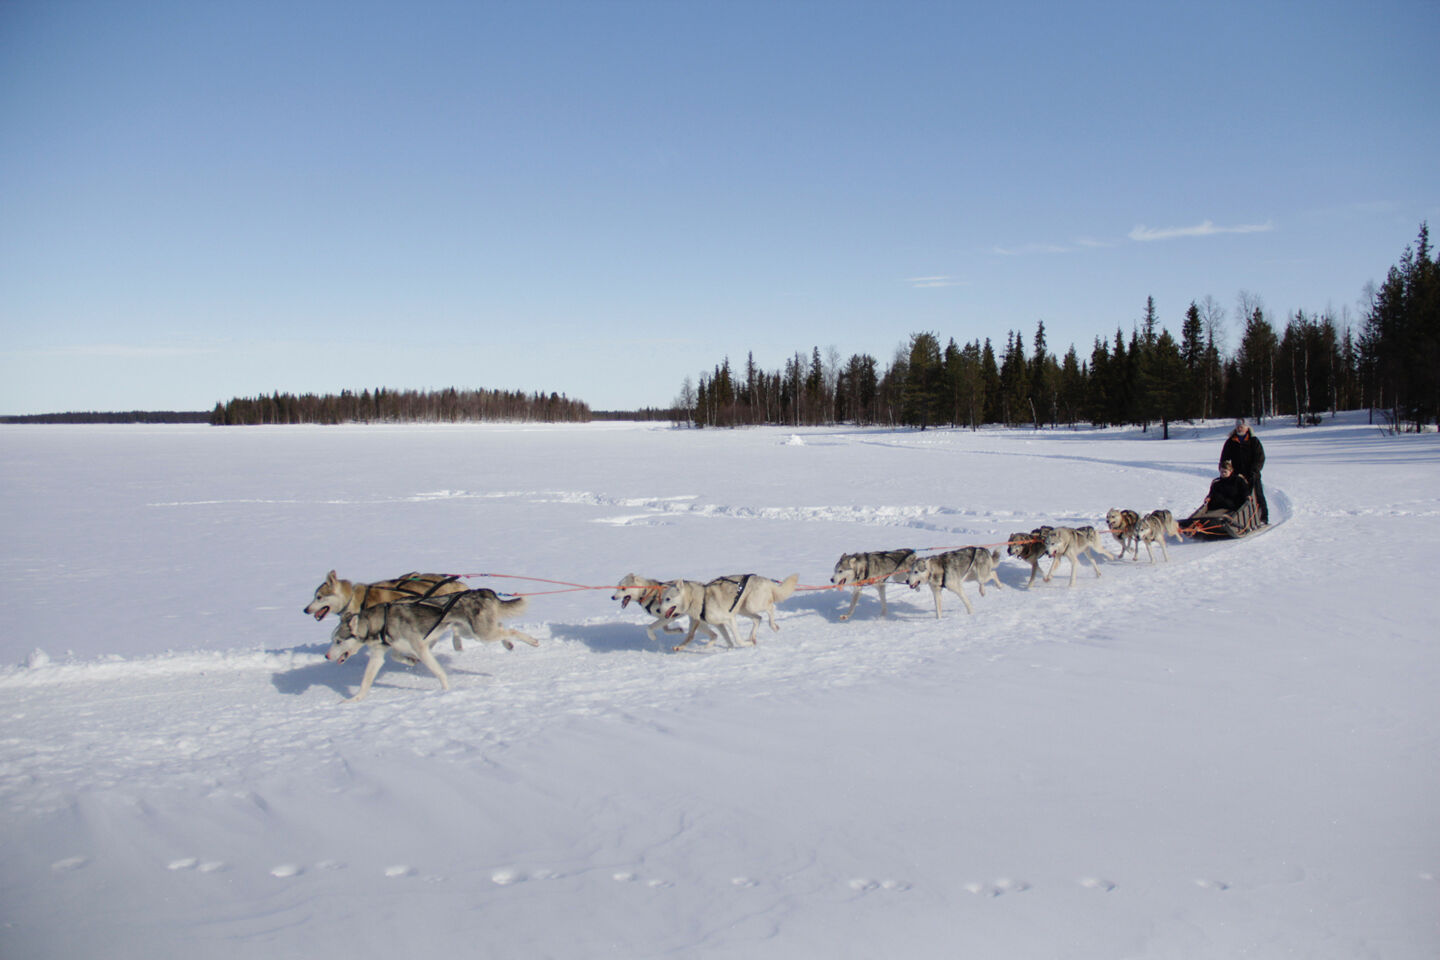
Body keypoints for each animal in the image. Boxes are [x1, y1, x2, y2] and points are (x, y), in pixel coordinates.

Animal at [329, 590, 538, 702]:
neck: (380, 622)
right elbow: (370, 677)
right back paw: (508, 643)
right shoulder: (380, 654)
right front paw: (354, 699)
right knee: (502, 627)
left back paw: (531, 641)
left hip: (481, 633)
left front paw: (446, 689)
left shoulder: (421, 647)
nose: (327, 656)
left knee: (511, 630)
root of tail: (481, 591)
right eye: (332, 640)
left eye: (338, 641)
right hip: (471, 632)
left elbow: (438, 672)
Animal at [659, 569, 800, 653]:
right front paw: (730, 648)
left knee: (770, 608)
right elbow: (725, 638)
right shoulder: (718, 624)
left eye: (668, 599)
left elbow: (737, 639)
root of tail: (765, 579)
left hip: (752, 605)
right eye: (662, 598)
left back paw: (772, 626)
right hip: (744, 609)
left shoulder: (729, 619)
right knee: (758, 618)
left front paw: (745, 644)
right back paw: (753, 637)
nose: (659, 609)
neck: (700, 599)